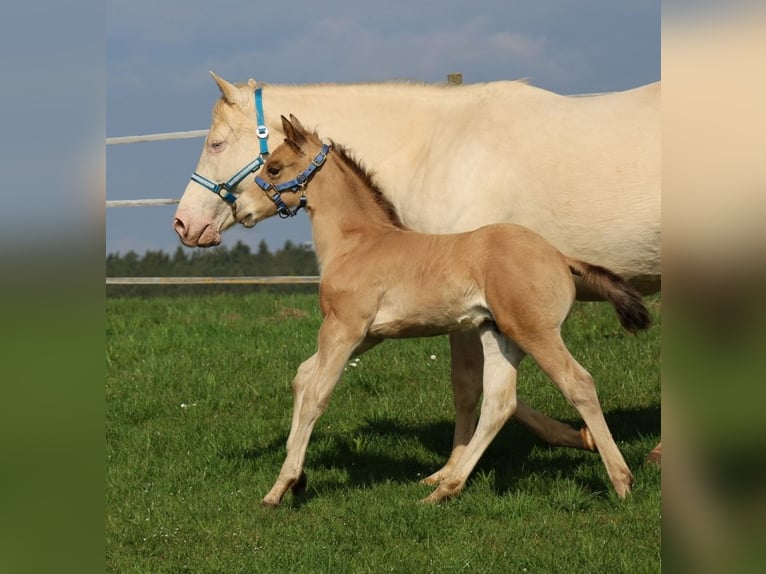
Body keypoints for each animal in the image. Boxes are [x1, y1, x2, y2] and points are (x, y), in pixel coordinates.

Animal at [173, 73, 661, 469]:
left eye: (216, 144)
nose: (184, 224)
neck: (433, 149)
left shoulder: (463, 313)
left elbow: (469, 386)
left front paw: (453, 468)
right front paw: (575, 438)